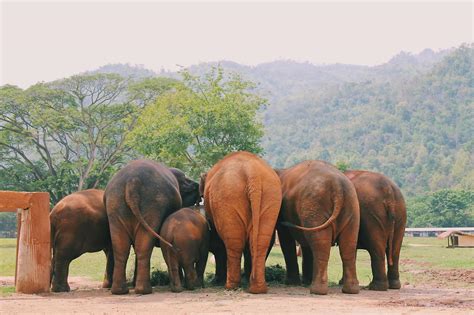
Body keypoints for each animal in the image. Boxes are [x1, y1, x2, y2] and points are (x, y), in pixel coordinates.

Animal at [103, 160, 200, 296]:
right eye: (186, 181)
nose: (197, 185)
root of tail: (132, 182)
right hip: (153, 204)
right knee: (143, 246)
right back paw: (144, 290)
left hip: (115, 206)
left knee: (122, 247)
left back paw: (121, 291)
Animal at [200, 152, 282, 296]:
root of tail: (252, 173)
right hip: (271, 196)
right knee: (259, 242)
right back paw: (257, 289)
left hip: (227, 196)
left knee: (233, 242)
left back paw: (230, 287)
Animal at [276, 162, 362, 296]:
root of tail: (337, 185)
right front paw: (304, 281)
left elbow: (286, 239)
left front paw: (291, 283)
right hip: (351, 207)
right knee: (348, 245)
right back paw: (351, 290)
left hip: (315, 206)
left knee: (320, 243)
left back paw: (317, 290)